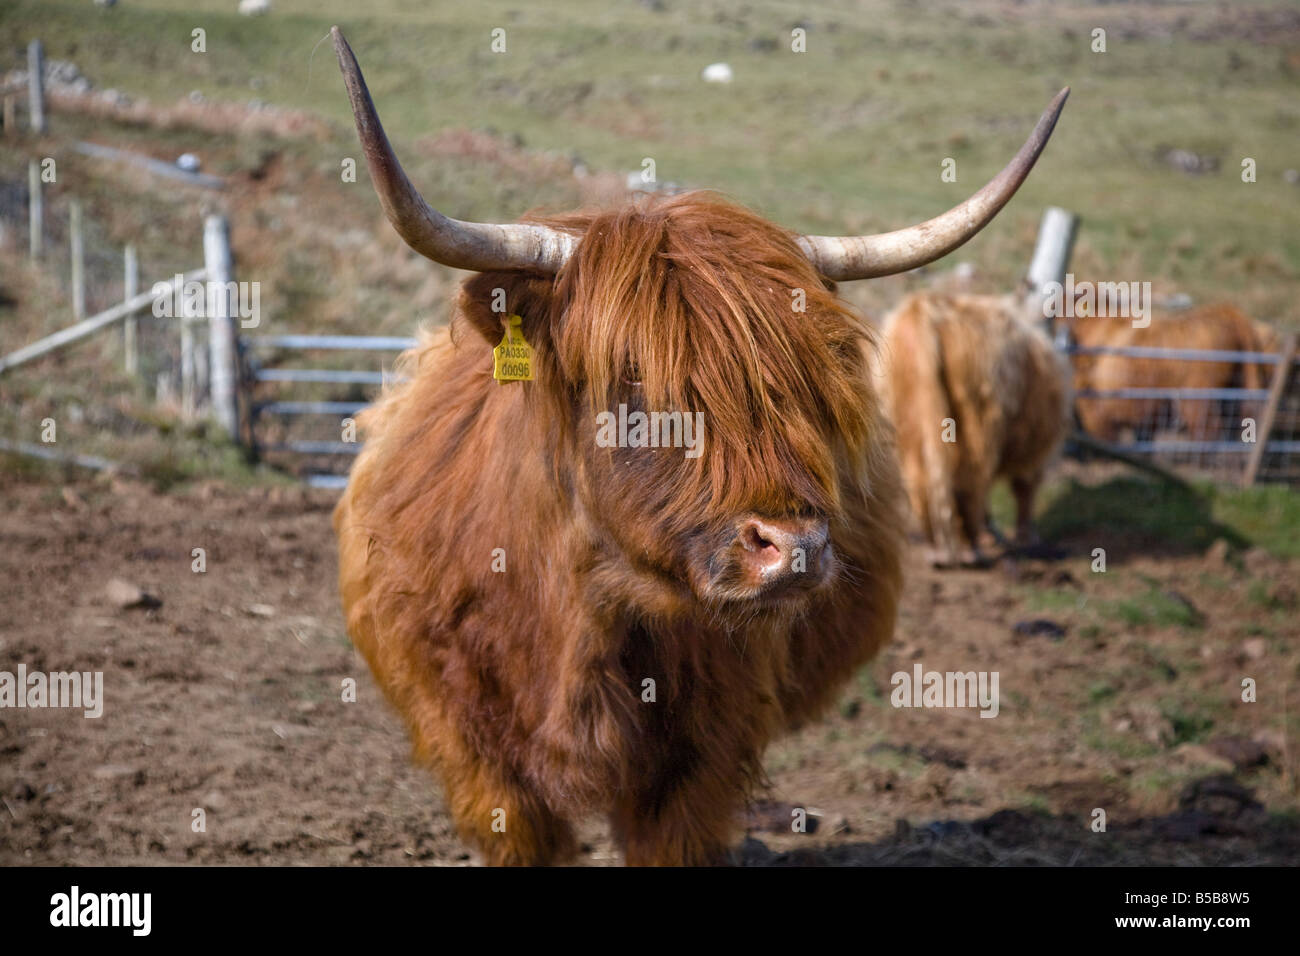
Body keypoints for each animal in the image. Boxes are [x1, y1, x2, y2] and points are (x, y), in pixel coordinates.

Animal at [876, 293, 1070, 568]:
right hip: (976, 423)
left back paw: (937, 549)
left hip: (909, 421)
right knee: (969, 482)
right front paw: (1027, 537)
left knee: (920, 482)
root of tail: (923, 306)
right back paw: (971, 550)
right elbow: (1025, 489)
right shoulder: (1036, 448)